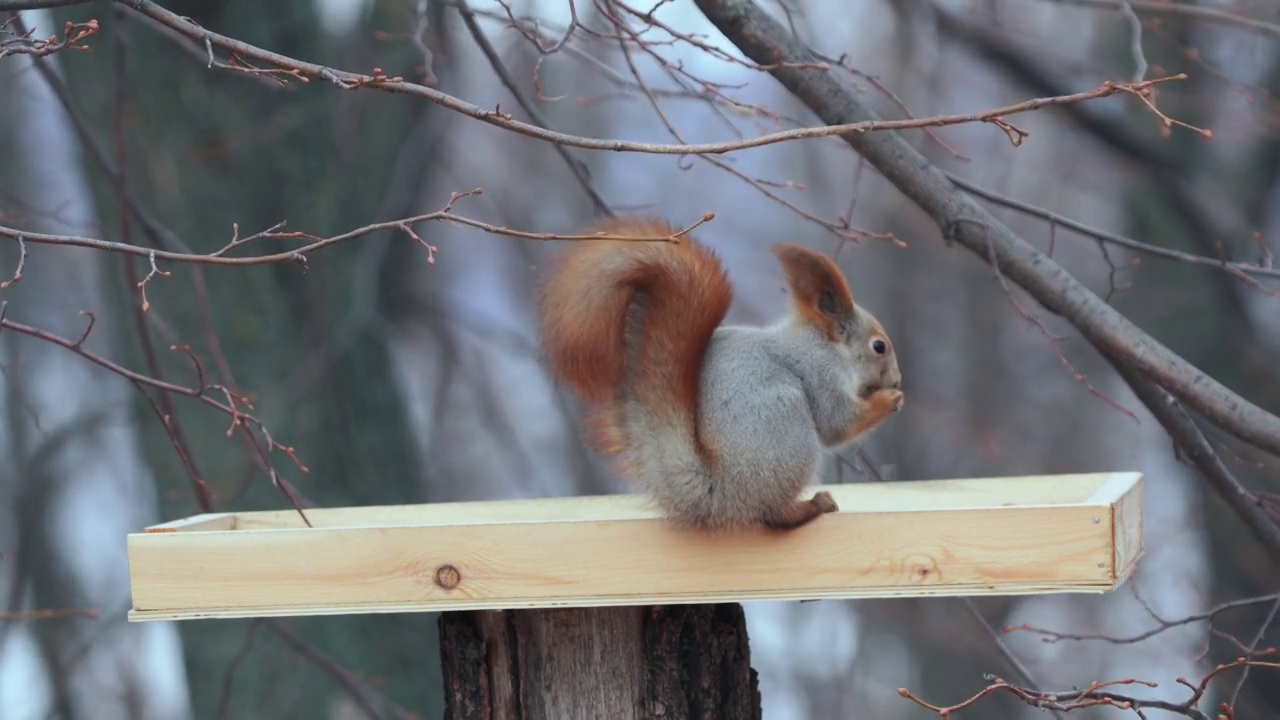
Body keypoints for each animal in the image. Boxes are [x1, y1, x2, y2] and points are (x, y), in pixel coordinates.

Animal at [535, 215, 906, 530]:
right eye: (879, 346)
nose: (897, 380)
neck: (823, 344)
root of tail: (721, 496)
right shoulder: (820, 372)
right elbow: (836, 422)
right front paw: (891, 399)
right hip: (787, 425)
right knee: (772, 513)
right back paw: (810, 507)